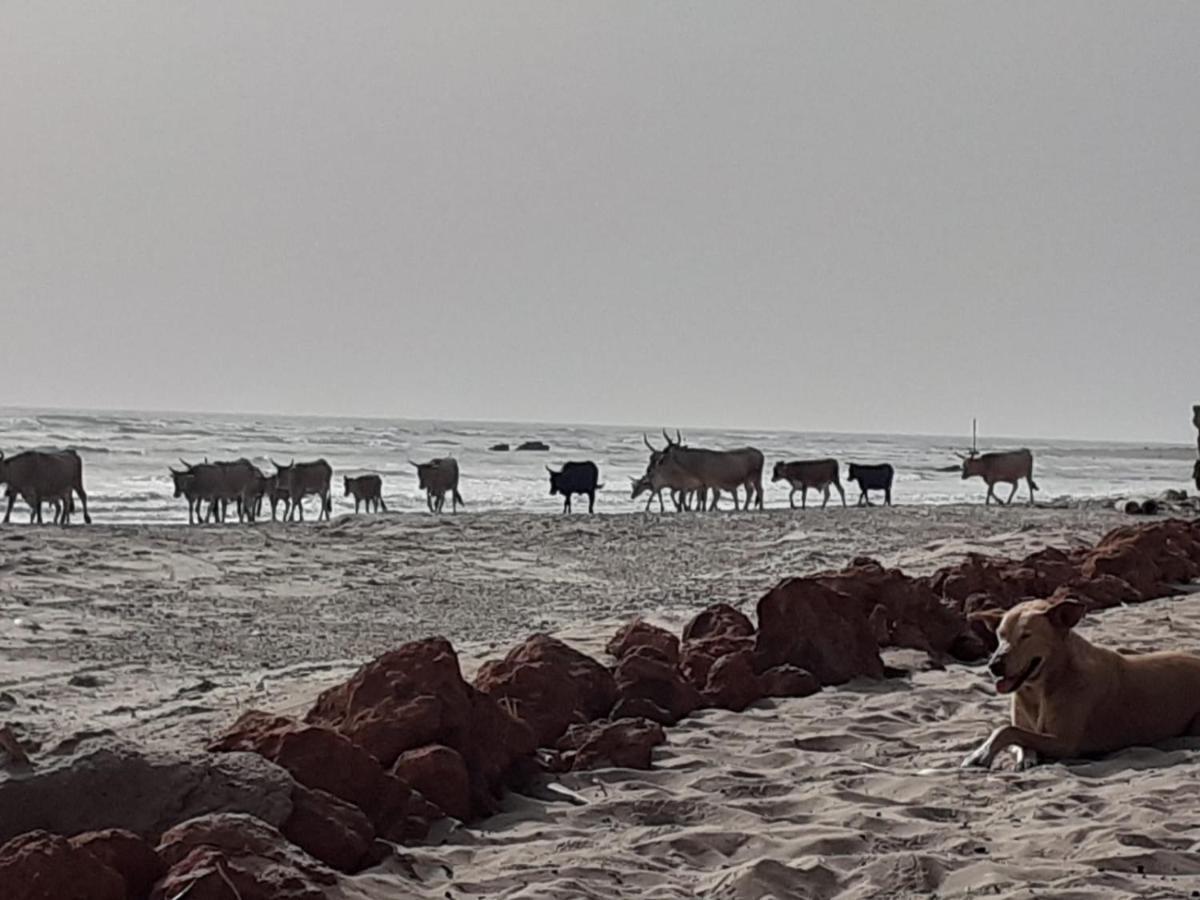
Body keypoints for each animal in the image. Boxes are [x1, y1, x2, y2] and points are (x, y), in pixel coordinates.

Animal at [960, 600, 1200, 768]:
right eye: (1000, 635)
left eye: (1026, 635)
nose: (994, 665)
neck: (1042, 687)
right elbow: (1015, 733)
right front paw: (1022, 756)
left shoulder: (1064, 743)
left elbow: (1007, 730)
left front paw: (980, 754)